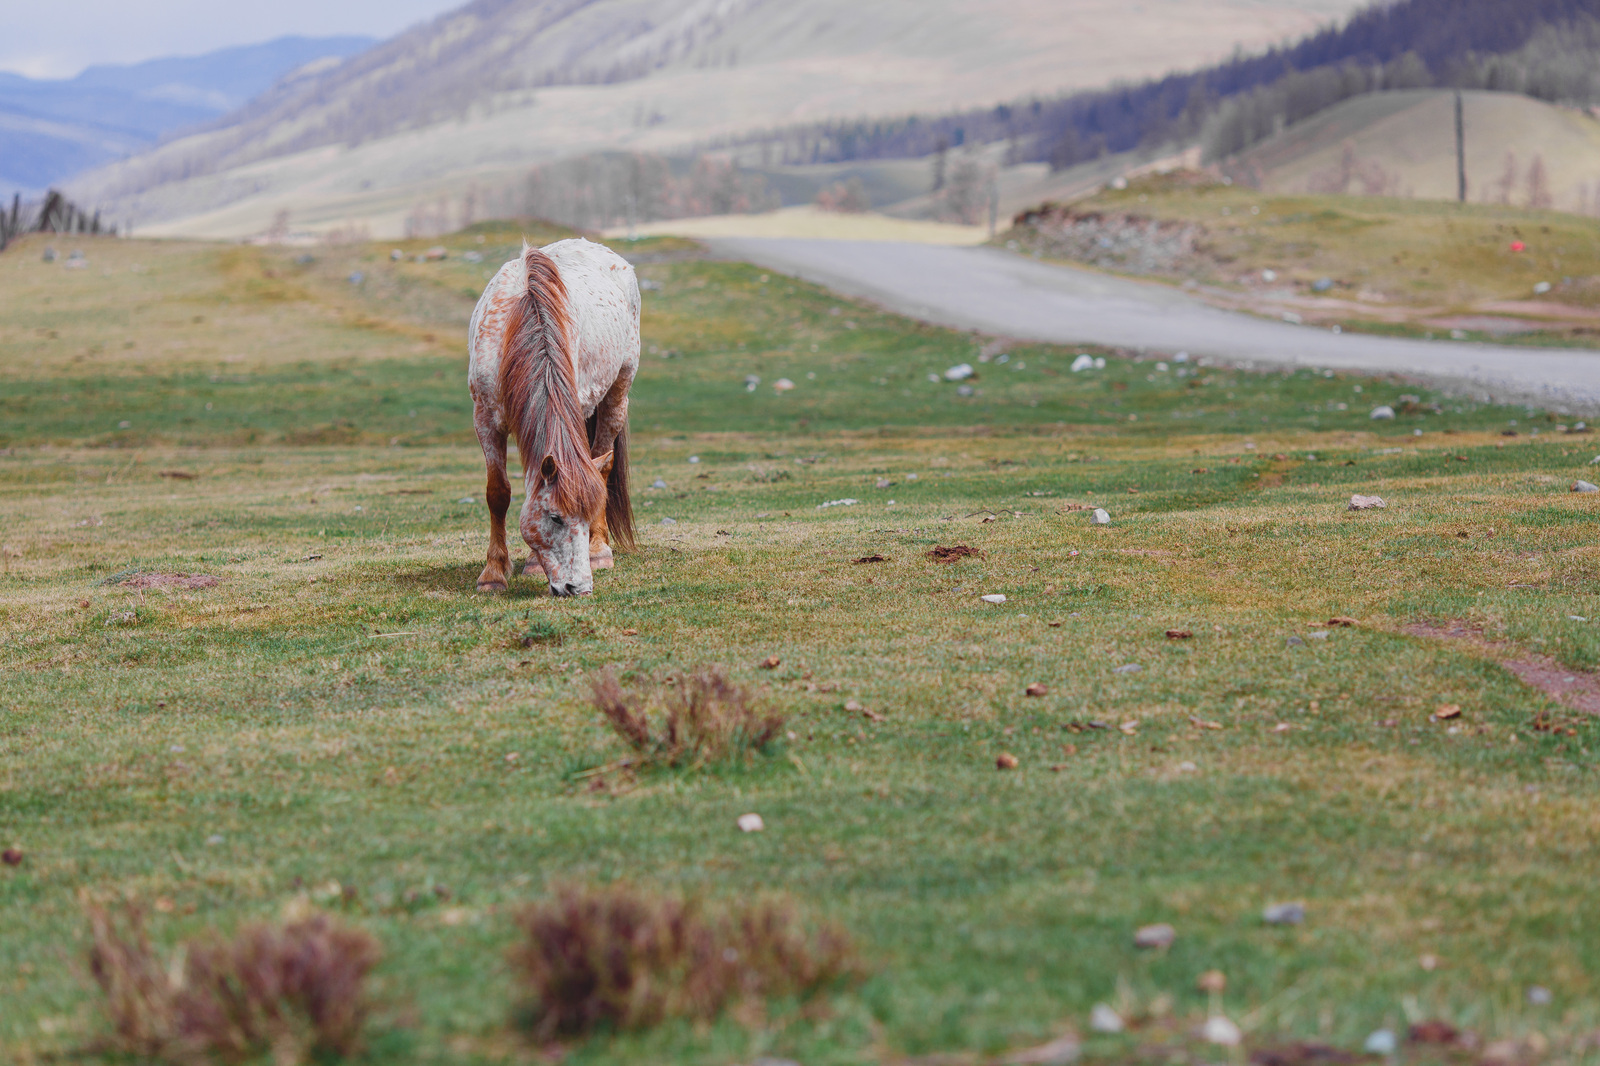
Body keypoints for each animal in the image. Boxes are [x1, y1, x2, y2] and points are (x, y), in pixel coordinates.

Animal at [464, 235, 636, 592]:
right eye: (554, 517)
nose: (578, 588)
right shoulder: (485, 419)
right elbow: (497, 492)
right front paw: (493, 573)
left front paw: (531, 563)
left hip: (616, 395)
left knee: (602, 463)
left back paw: (600, 550)